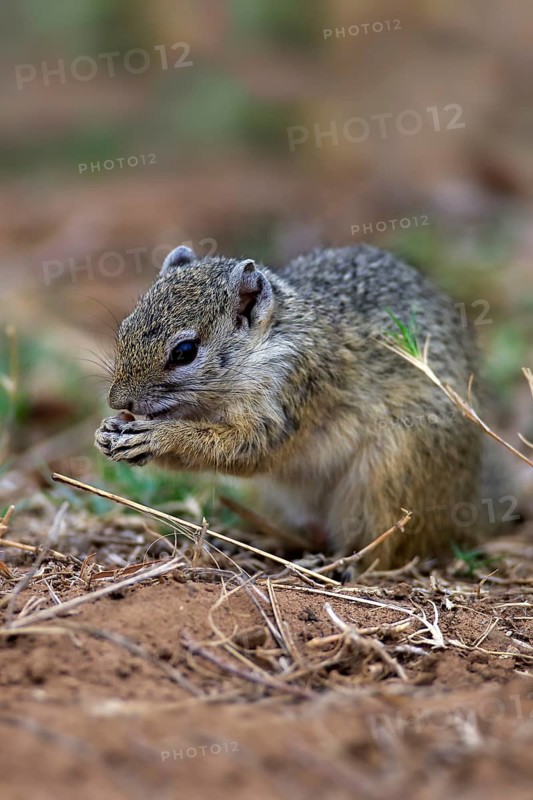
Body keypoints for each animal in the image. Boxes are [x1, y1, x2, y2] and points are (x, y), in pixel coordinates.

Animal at [95, 244, 496, 567]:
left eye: (184, 352)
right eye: (125, 328)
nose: (118, 400)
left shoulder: (294, 391)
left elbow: (247, 449)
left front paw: (160, 437)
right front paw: (107, 432)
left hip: (392, 476)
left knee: (389, 546)